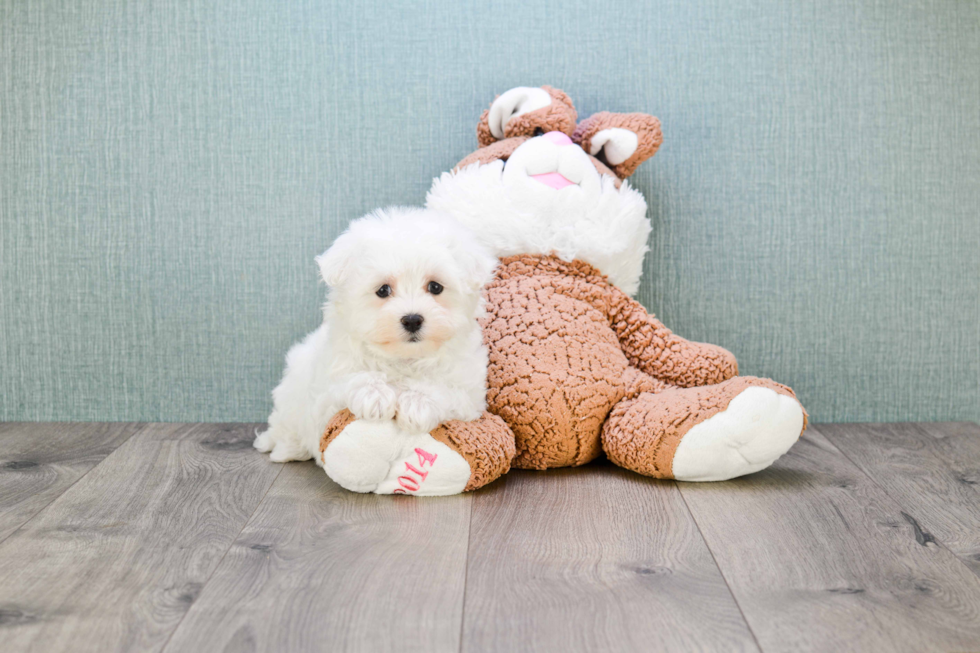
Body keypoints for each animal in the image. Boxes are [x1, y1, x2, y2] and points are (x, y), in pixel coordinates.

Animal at [253, 206, 498, 460]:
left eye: (435, 287)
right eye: (382, 290)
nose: (412, 320)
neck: (403, 358)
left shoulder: (469, 395)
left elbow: (445, 389)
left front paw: (418, 403)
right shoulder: (326, 394)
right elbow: (351, 380)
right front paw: (375, 395)